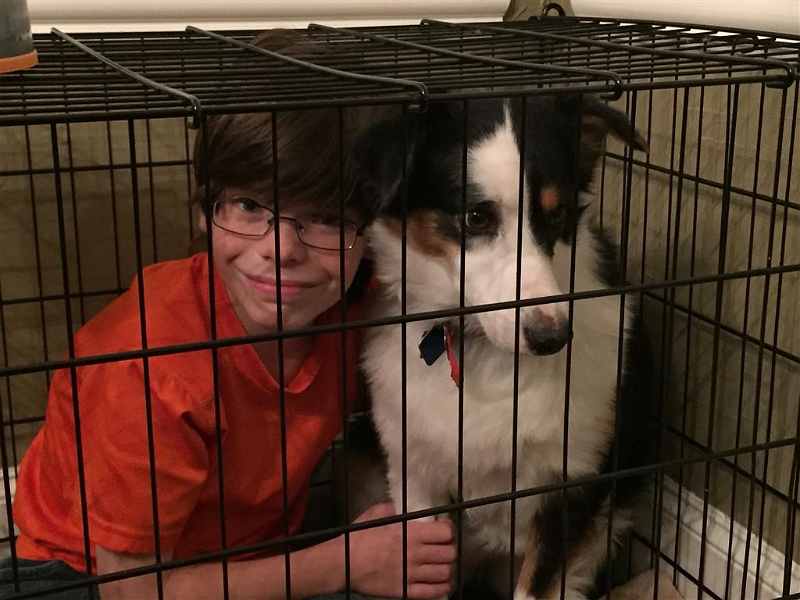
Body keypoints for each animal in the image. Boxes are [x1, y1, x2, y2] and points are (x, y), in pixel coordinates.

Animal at [353, 94, 655, 600]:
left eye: (557, 215)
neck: (487, 358)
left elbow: (536, 585)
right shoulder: (414, 472)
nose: (551, 337)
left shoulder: (572, 482)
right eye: (476, 216)